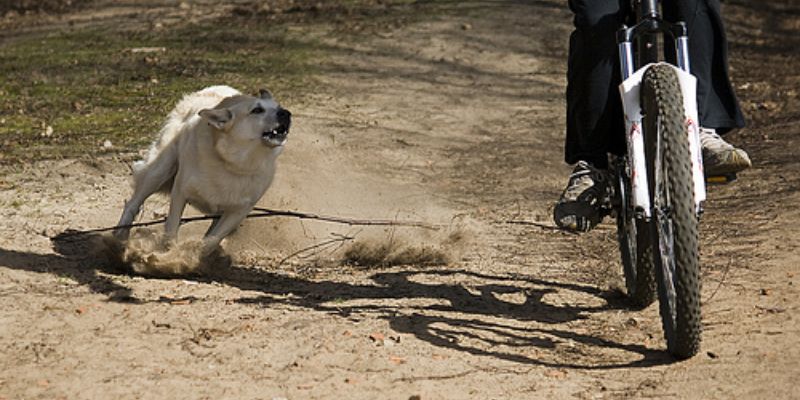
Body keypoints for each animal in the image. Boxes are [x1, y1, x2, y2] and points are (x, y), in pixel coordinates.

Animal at [114, 85, 292, 253]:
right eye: (257, 110)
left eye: (279, 106)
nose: (286, 113)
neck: (233, 163)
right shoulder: (180, 192)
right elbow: (171, 228)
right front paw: (169, 254)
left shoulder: (238, 212)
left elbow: (212, 239)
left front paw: (195, 255)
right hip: (160, 169)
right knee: (133, 203)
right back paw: (120, 235)